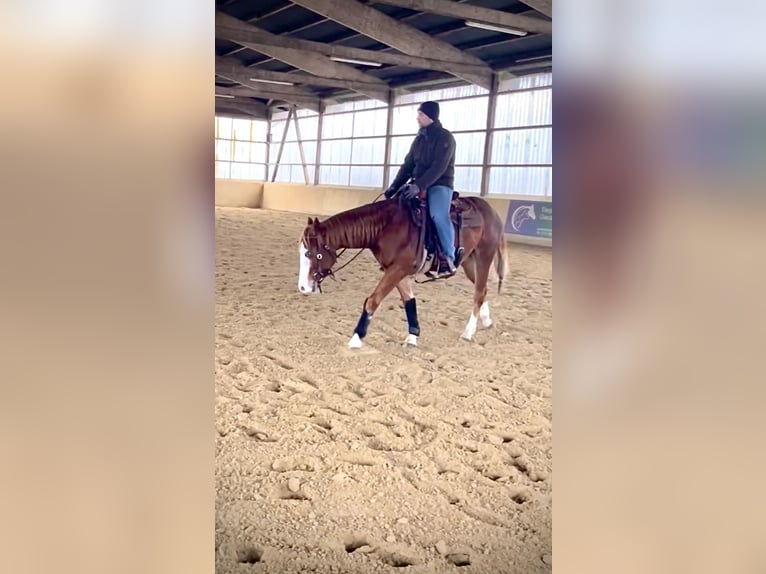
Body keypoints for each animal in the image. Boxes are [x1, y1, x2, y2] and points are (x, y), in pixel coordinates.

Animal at [297, 192, 507, 349]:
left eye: (310, 253)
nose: (302, 288)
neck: (387, 227)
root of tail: (491, 211)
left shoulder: (398, 269)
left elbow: (373, 300)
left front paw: (356, 337)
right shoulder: (396, 270)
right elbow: (409, 301)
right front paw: (413, 336)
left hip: (484, 257)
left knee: (479, 291)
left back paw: (468, 332)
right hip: (469, 261)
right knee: (482, 290)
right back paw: (486, 320)